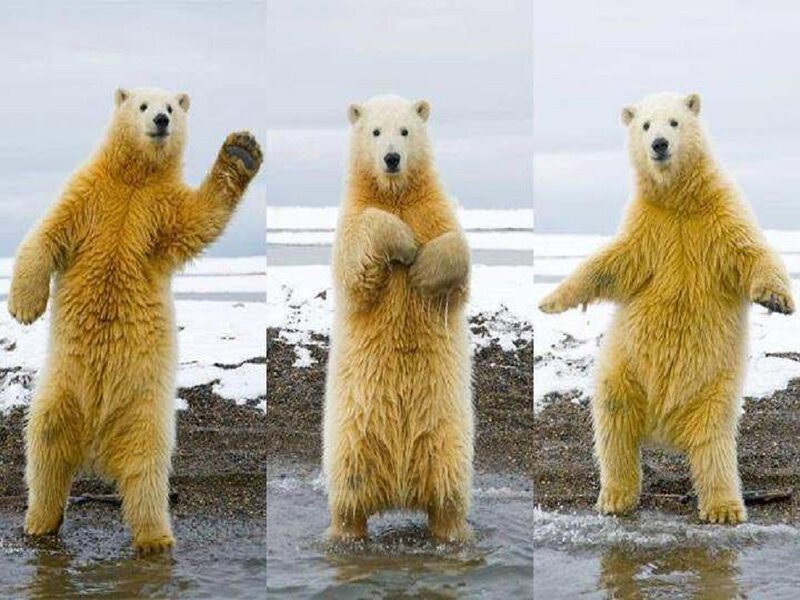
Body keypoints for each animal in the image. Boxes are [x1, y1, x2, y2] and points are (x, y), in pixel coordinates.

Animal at [8, 87, 262, 554]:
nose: (161, 120)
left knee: (146, 470)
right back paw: (39, 522)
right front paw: (24, 307)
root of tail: (95, 442)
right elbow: (46, 235)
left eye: (173, 106)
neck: (134, 179)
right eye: (143, 105)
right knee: (45, 447)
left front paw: (241, 150)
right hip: (61, 389)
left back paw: (155, 538)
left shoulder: (158, 209)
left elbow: (199, 218)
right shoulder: (88, 194)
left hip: (144, 407)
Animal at [323, 95, 474, 542]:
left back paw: (453, 531)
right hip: (351, 436)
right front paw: (404, 245)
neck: (395, 193)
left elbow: (457, 249)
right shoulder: (353, 216)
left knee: (449, 492)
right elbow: (357, 260)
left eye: (405, 131)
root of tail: (400, 491)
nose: (391, 158)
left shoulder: (433, 209)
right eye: (375, 131)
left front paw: (422, 271)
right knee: (348, 493)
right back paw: (344, 531)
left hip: (447, 434)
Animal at [539, 92, 794, 524]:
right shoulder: (648, 228)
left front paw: (778, 300)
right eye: (644, 125)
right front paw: (550, 300)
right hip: (624, 368)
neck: (679, 201)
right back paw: (615, 497)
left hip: (714, 388)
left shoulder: (719, 217)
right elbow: (610, 264)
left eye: (674, 122)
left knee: (713, 444)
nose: (659, 144)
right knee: (614, 423)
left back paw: (724, 507)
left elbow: (751, 253)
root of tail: (664, 426)